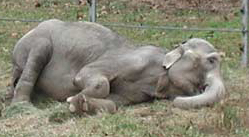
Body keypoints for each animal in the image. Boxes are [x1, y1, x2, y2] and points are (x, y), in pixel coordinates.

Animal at [9, 18, 226, 114]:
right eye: (211, 60)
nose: (176, 100)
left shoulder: (136, 94)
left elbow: (114, 103)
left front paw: (81, 103)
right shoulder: (127, 60)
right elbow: (91, 77)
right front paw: (73, 99)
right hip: (38, 42)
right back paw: (22, 105)